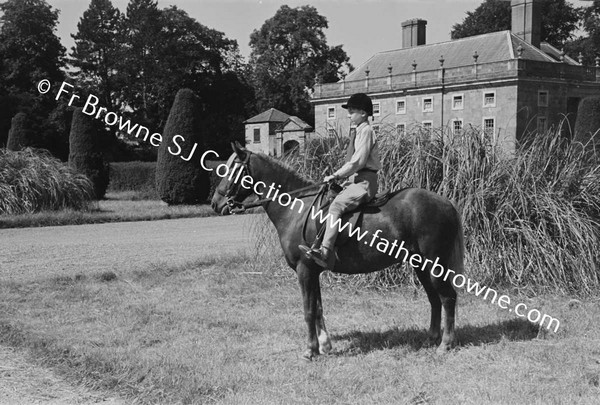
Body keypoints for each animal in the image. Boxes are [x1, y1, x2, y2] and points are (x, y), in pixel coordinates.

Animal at [211, 142, 464, 360]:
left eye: (232, 168)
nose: (215, 203)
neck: (297, 207)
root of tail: (445, 203)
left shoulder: (304, 270)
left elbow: (308, 310)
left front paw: (310, 350)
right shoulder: (313, 271)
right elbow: (318, 308)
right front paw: (324, 345)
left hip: (434, 265)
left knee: (447, 297)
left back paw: (446, 343)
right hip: (420, 265)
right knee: (434, 299)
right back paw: (431, 338)